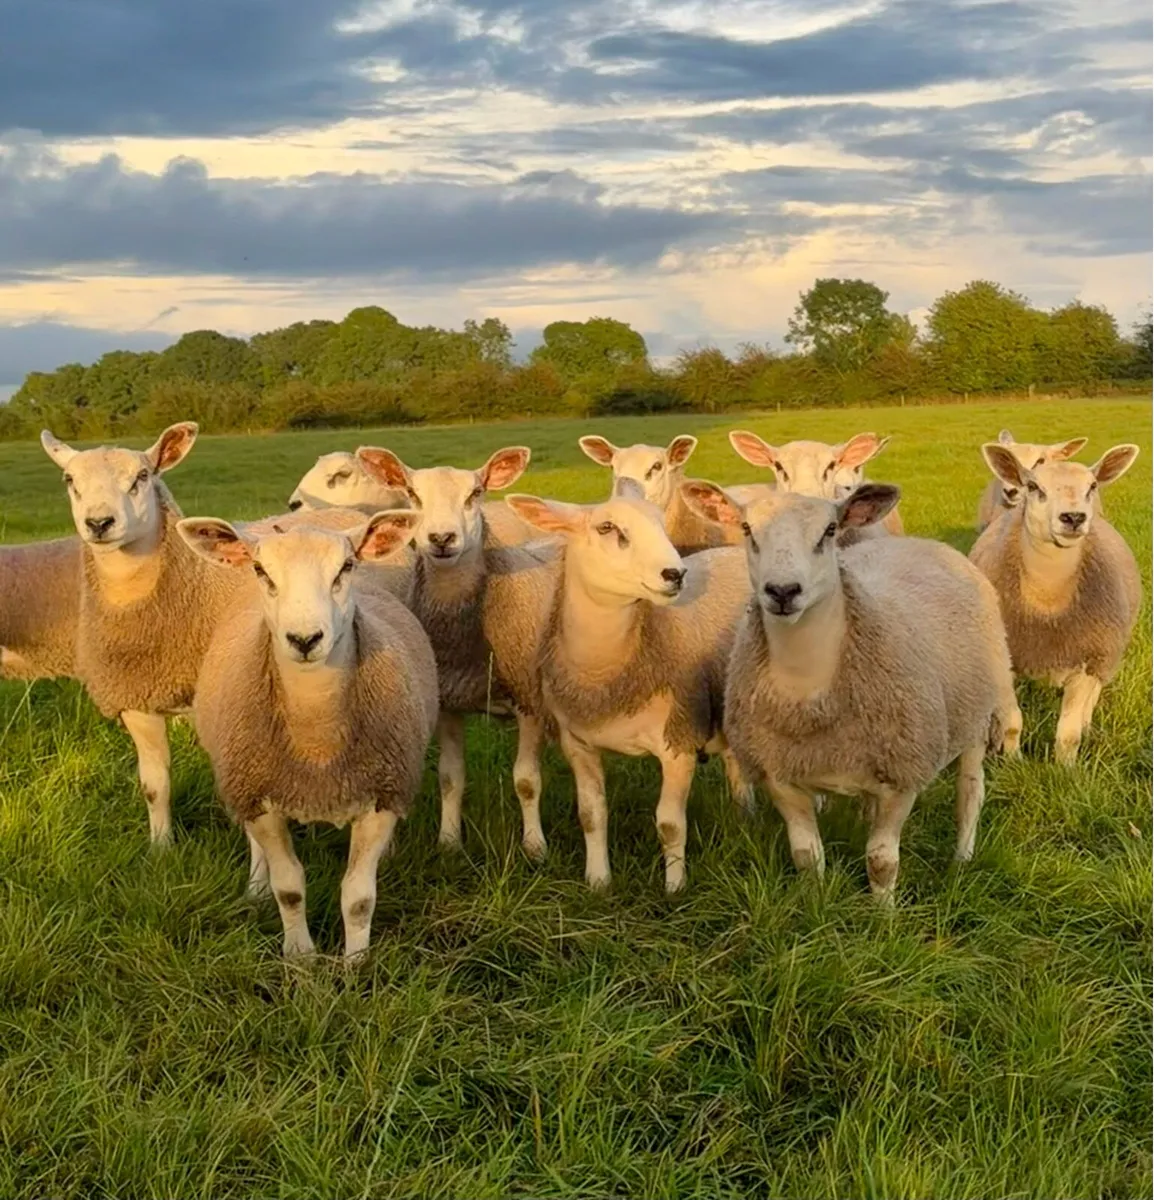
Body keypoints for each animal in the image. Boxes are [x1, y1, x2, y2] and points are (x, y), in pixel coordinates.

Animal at [178, 511, 437, 959]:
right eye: (261, 570)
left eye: (346, 567)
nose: (304, 639)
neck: (317, 744)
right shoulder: (260, 796)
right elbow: (289, 890)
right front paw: (301, 957)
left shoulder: (383, 793)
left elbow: (359, 897)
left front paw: (356, 963)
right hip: (241, 776)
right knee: (254, 844)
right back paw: (256, 887)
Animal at [356, 443, 559, 858]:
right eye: (413, 495)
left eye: (475, 494)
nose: (442, 537)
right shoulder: (448, 701)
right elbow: (450, 778)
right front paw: (449, 842)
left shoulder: (530, 699)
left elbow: (527, 780)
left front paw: (535, 846)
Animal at [505, 478, 754, 893]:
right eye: (606, 528)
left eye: (662, 524)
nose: (676, 574)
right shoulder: (578, 743)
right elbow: (591, 814)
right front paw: (598, 881)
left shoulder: (679, 742)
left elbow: (670, 825)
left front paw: (674, 889)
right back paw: (742, 816)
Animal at [680, 479, 1021, 901]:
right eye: (745, 529)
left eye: (830, 531)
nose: (782, 591)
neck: (810, 692)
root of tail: (921, 542)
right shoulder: (782, 778)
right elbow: (806, 857)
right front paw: (816, 902)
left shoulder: (902, 775)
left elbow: (881, 861)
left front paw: (884, 912)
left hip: (978, 714)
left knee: (970, 792)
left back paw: (962, 858)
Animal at [969, 442, 1141, 765]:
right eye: (1034, 487)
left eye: (1092, 486)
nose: (1073, 517)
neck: (1047, 599)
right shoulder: (1005, 659)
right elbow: (1013, 724)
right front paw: (1014, 762)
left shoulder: (1087, 661)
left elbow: (1068, 735)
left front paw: (1065, 769)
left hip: (1106, 652)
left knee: (1093, 696)